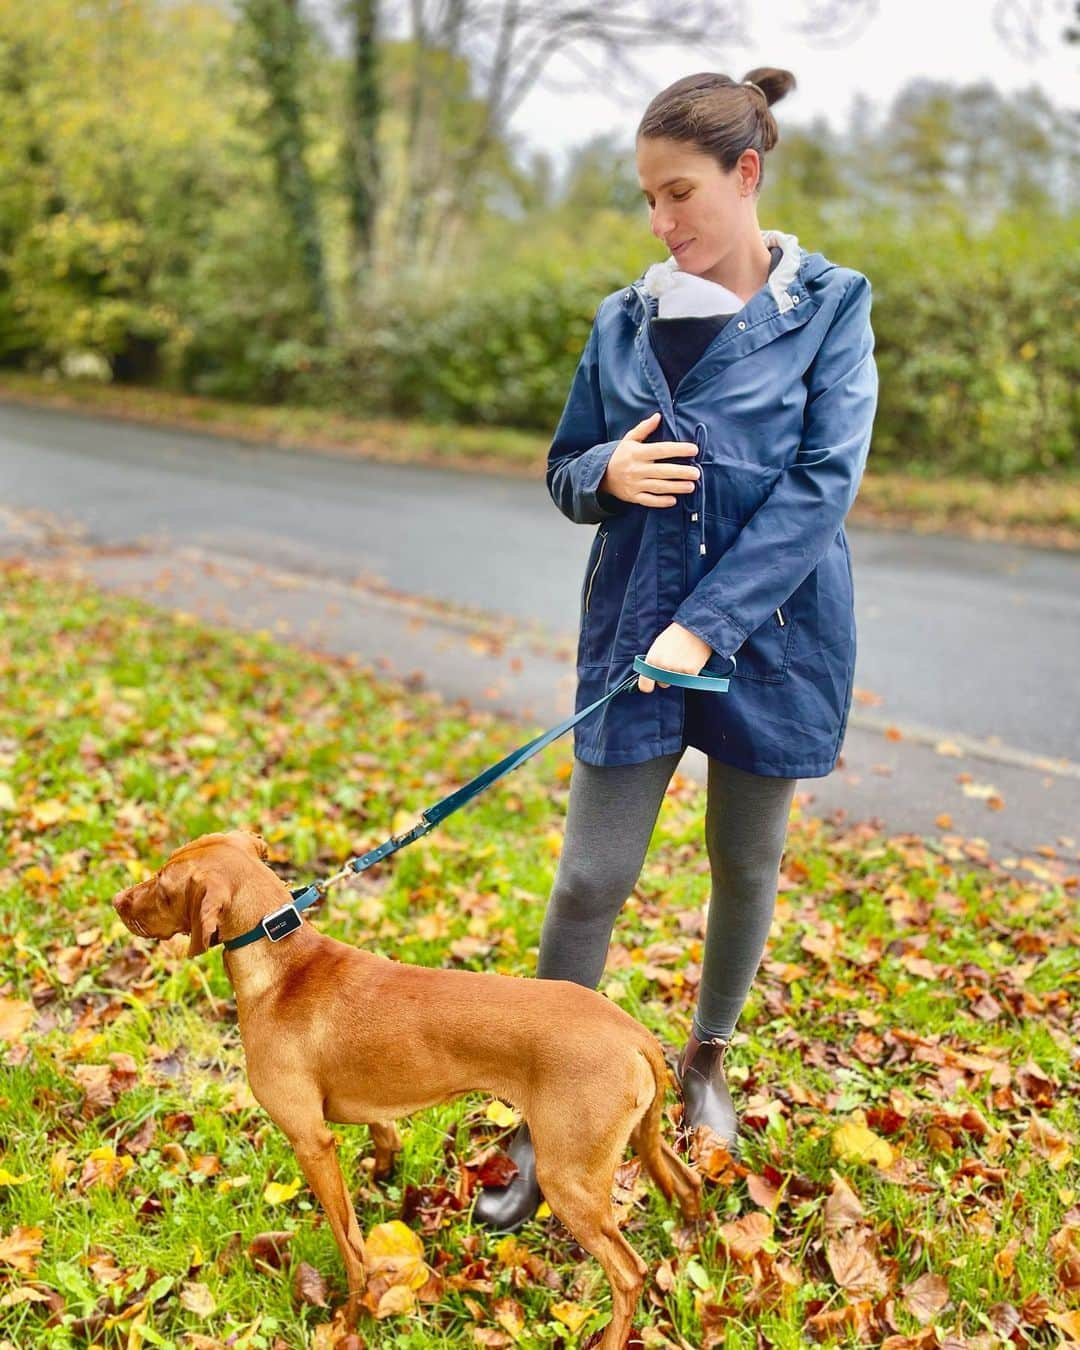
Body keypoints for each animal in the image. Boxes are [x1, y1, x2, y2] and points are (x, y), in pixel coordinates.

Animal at [109, 826, 702, 1344]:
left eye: (162, 883)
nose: (116, 900)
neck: (284, 966)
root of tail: (632, 1032)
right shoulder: (371, 1112)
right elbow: (384, 1144)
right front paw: (384, 1185)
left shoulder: (310, 1142)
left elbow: (350, 1244)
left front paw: (349, 1319)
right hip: (636, 1142)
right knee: (688, 1183)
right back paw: (692, 1239)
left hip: (570, 1178)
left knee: (628, 1272)